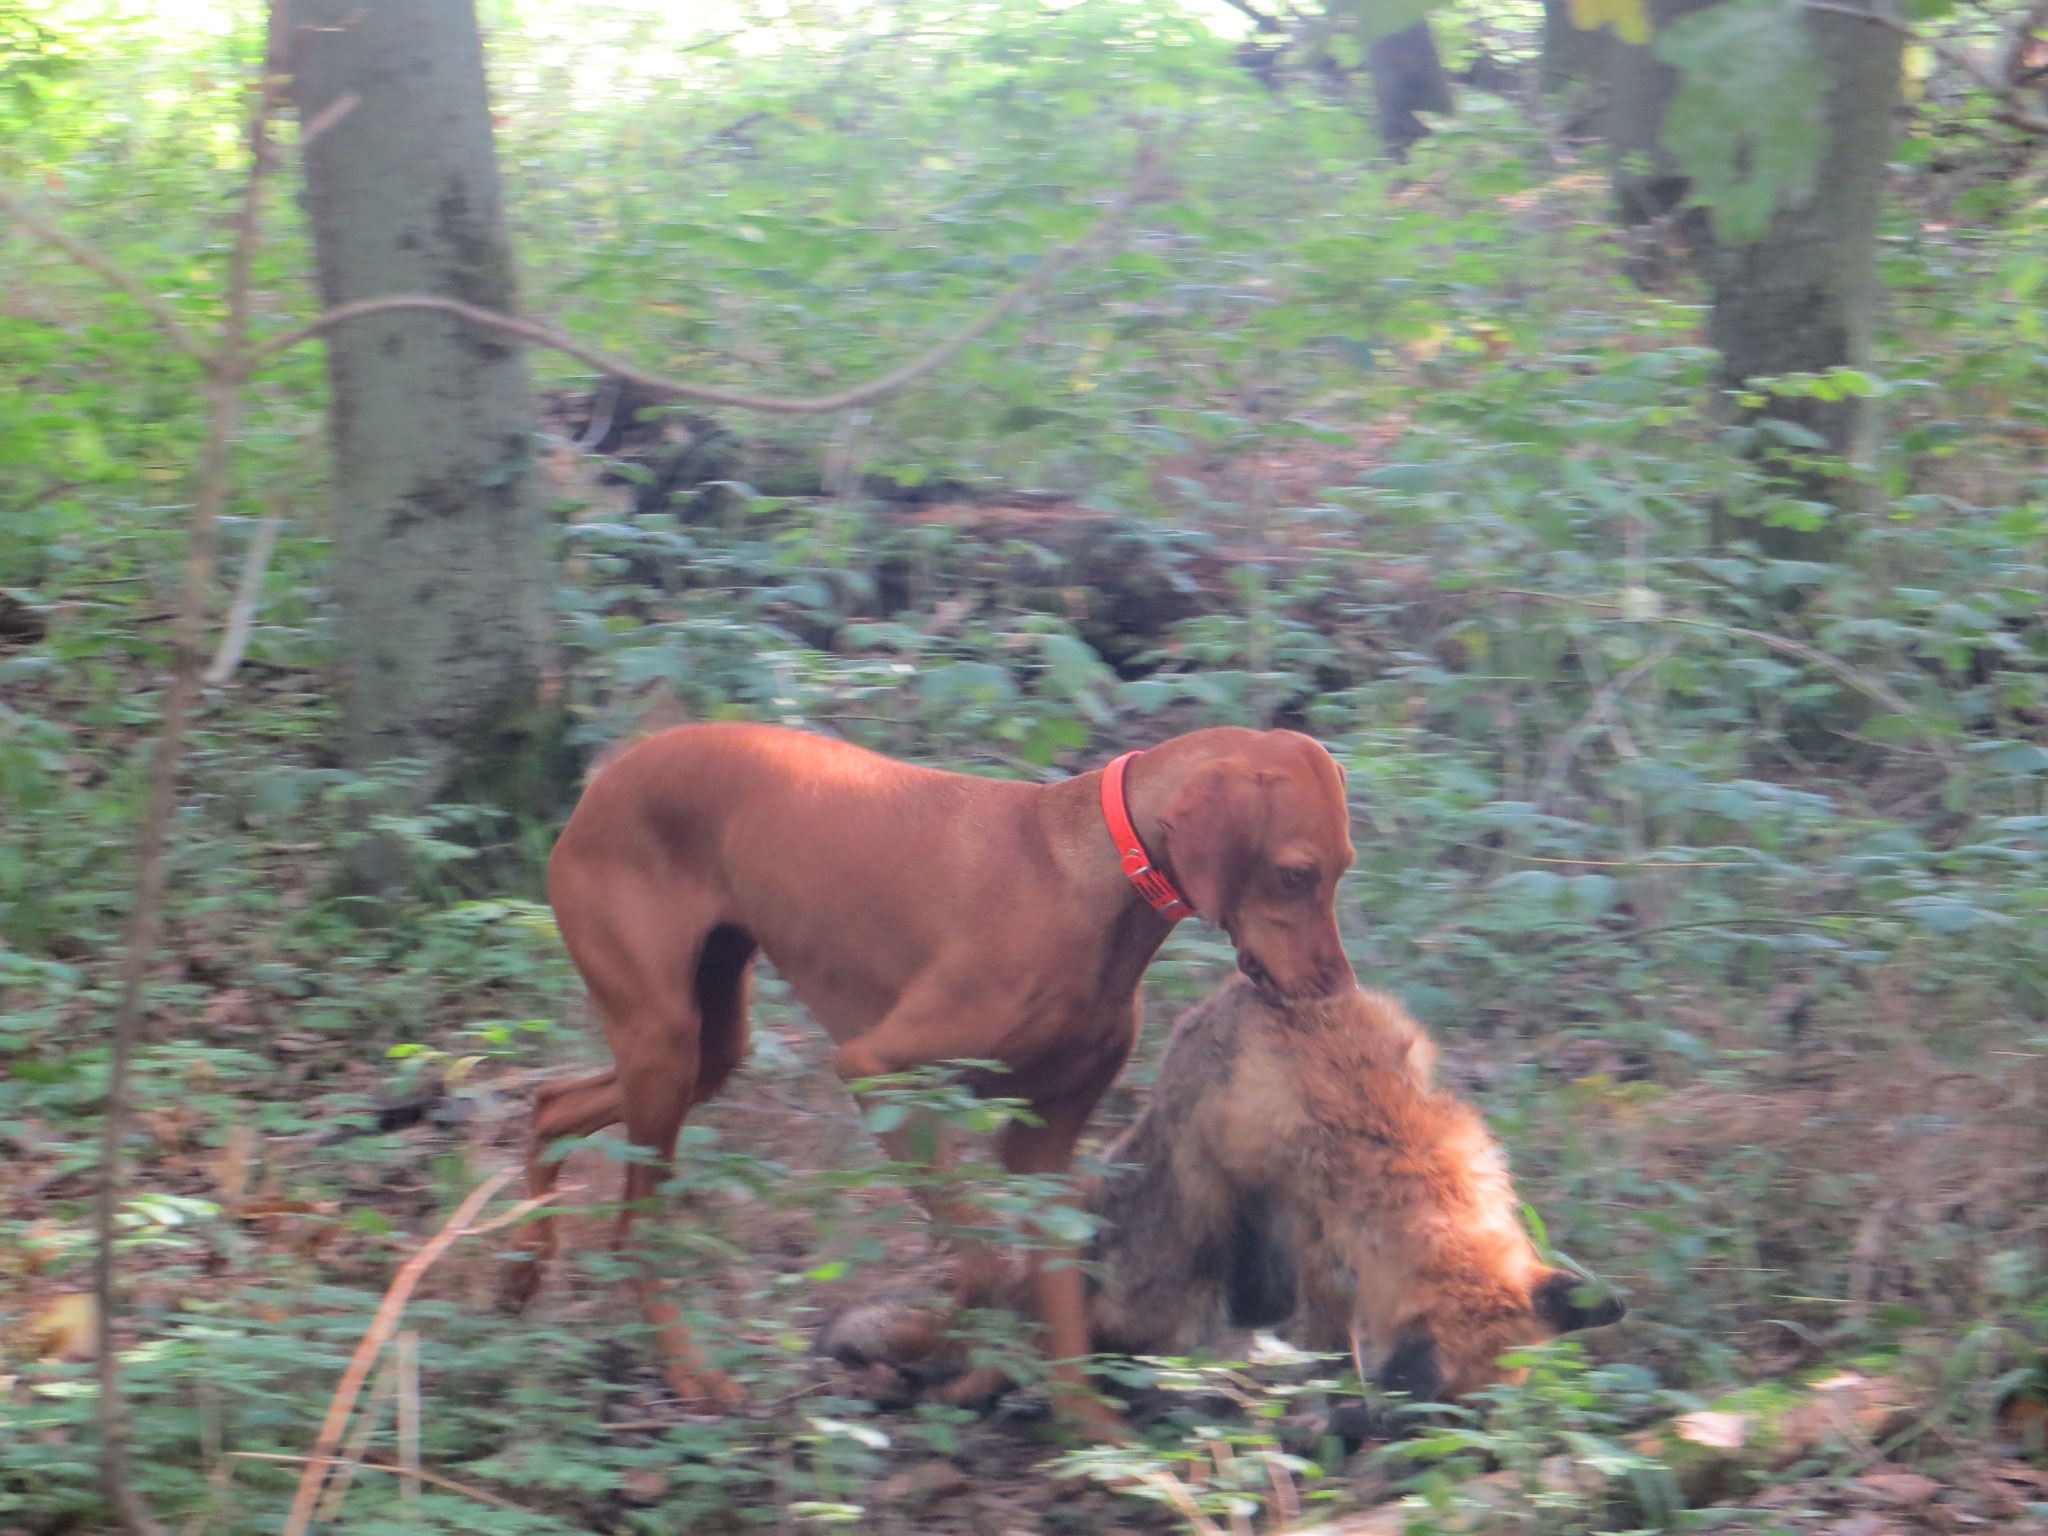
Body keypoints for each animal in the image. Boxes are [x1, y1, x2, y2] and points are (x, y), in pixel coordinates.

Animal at [503, 729, 1351, 1425]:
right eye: (1295, 875)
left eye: (1343, 870)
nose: (1338, 991)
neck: (1090, 877)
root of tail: (614, 772)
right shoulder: (879, 1072)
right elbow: (984, 1262)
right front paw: (934, 1344)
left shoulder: (1044, 1149)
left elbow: (1050, 1295)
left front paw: (1090, 1437)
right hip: (666, 1044)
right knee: (630, 1233)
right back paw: (689, 1371)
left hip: (706, 1047)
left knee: (549, 1104)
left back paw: (520, 1273)